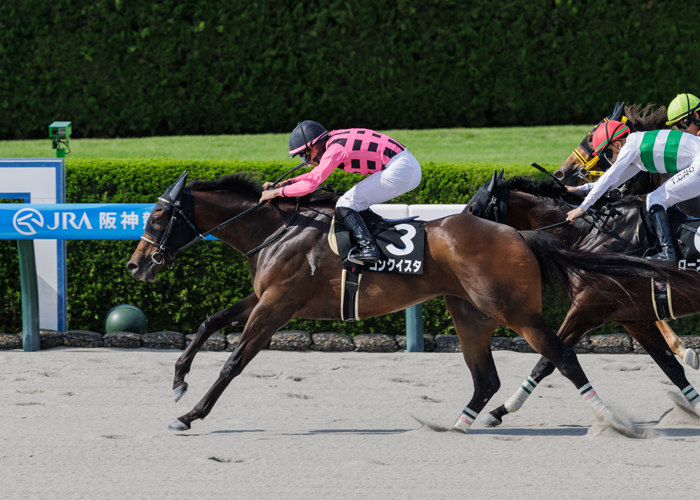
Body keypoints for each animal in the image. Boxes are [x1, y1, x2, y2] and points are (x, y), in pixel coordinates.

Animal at [127, 171, 672, 432]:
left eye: (157, 217)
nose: (136, 265)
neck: (278, 229)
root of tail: (520, 235)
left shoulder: (276, 305)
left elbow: (234, 361)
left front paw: (190, 414)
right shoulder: (267, 298)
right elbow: (209, 320)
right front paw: (177, 381)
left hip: (515, 311)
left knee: (560, 355)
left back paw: (612, 421)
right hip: (469, 312)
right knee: (487, 378)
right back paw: (459, 424)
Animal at [467, 173, 700, 426]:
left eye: (472, 208)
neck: (591, 234)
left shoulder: (586, 310)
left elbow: (547, 361)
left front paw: (499, 410)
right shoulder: (635, 320)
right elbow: (671, 368)